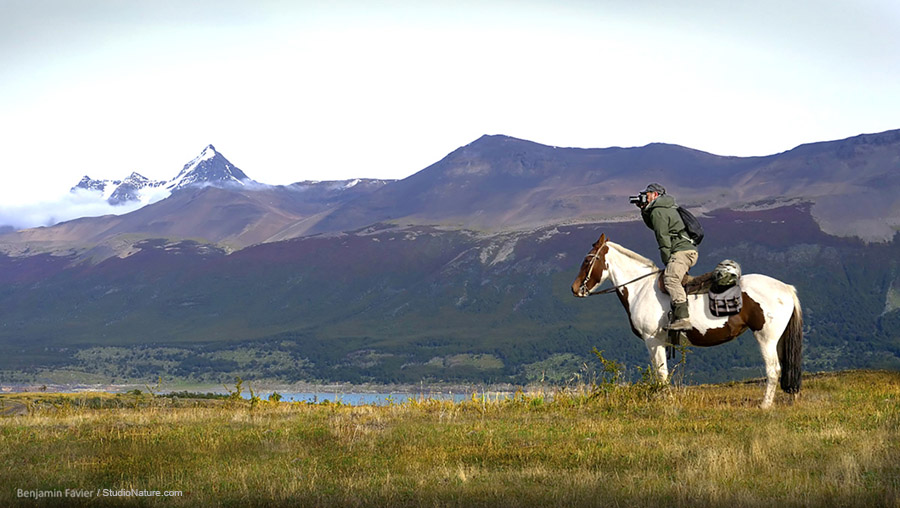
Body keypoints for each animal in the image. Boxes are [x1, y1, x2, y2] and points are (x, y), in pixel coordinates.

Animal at [568, 235, 800, 408]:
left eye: (588, 261)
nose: (575, 288)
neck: (641, 288)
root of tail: (786, 288)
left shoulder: (653, 340)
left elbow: (661, 374)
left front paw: (666, 401)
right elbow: (659, 373)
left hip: (766, 338)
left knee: (773, 370)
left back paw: (765, 405)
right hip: (778, 340)